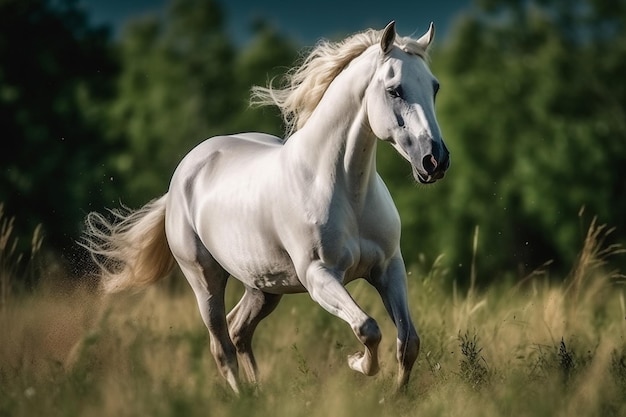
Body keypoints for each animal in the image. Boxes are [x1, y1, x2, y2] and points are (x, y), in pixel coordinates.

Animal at [83, 22, 448, 394]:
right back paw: (243, 396)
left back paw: (258, 392)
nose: (435, 160)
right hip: (204, 279)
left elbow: (408, 342)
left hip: (263, 286)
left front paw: (394, 396)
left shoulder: (389, 268)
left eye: (434, 87)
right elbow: (368, 328)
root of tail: (181, 178)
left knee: (239, 330)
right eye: (395, 90)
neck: (345, 189)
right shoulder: (319, 276)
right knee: (222, 345)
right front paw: (356, 363)